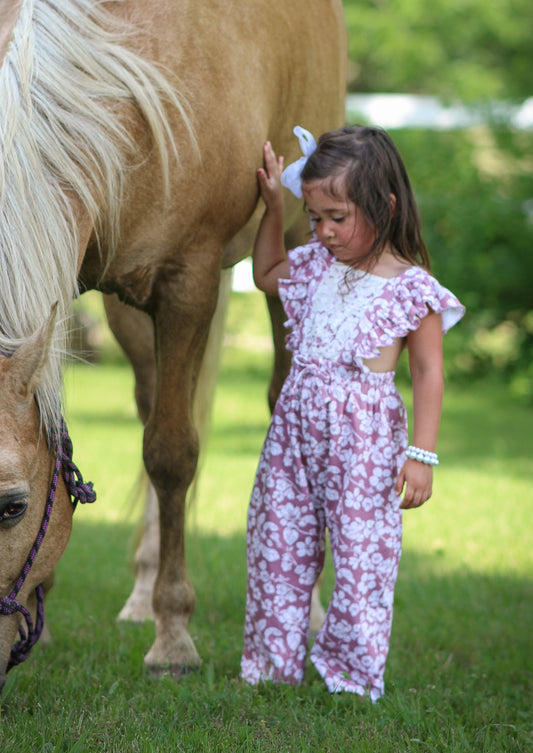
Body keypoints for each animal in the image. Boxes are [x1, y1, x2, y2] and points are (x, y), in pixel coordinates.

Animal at [0, 0, 344, 692]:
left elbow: (172, 454)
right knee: (151, 400)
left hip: (295, 247)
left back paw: (312, 610)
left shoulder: (189, 281)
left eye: (11, 507)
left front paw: (174, 639)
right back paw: (141, 592)